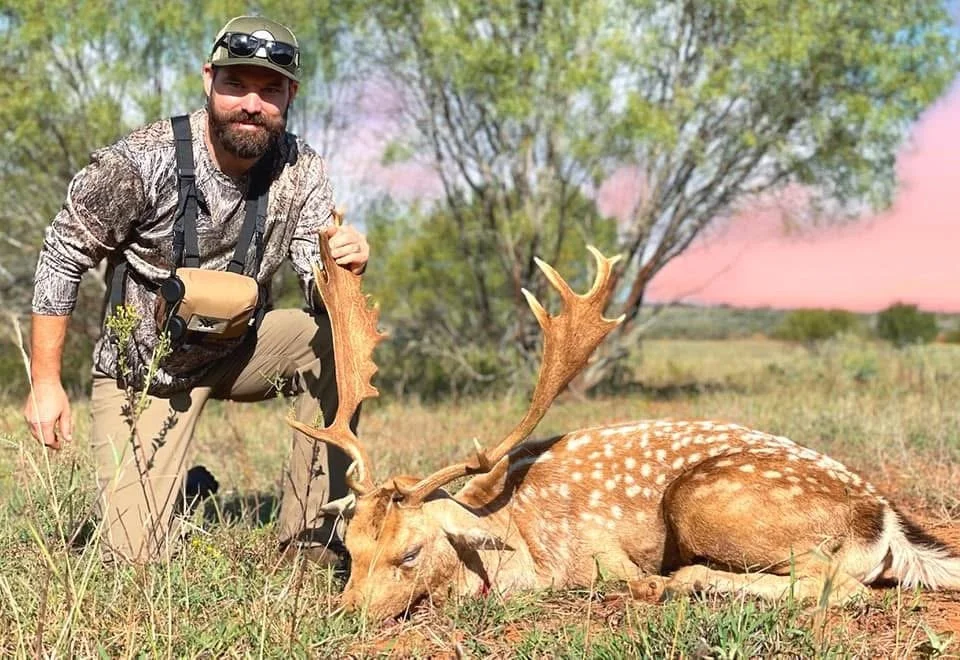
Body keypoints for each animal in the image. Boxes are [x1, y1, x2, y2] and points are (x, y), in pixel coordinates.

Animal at [288, 235, 960, 622]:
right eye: (351, 548)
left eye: (410, 552)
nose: (346, 614)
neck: (517, 539)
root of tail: (884, 520)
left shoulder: (597, 554)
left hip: (711, 503)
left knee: (840, 585)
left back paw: (673, 585)